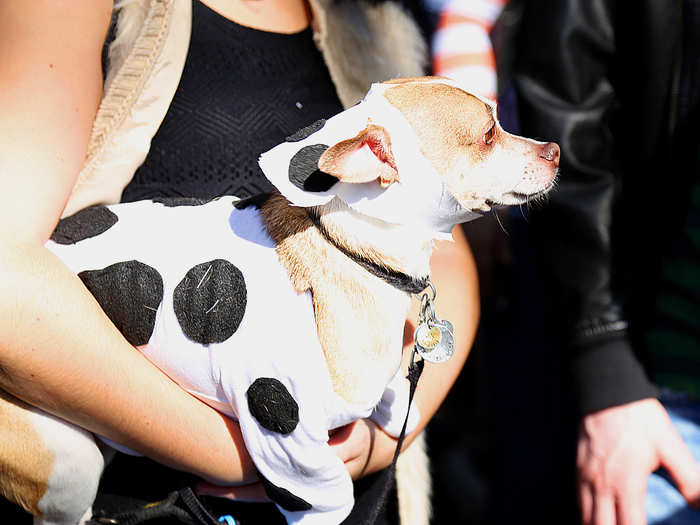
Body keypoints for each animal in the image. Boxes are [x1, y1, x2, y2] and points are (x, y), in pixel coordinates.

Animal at [0, 78, 556, 524]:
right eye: (489, 134)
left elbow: (388, 395)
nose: (552, 148)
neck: (349, 250)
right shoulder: (294, 456)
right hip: (66, 457)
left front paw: (394, 405)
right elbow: (327, 496)